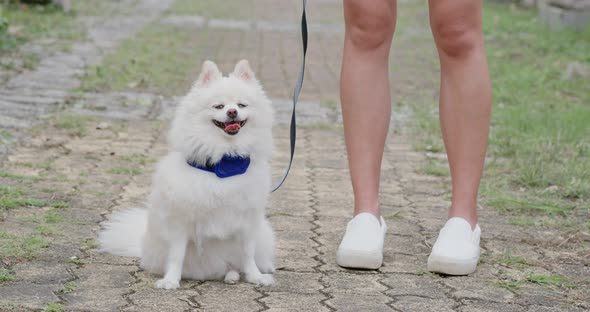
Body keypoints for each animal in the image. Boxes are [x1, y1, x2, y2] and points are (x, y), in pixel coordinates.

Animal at [99, 59, 278, 288]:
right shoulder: (180, 222)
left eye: (241, 105)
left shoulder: (248, 220)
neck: (223, 162)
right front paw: (171, 280)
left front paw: (255, 276)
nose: (232, 112)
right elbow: (177, 255)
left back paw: (233, 274)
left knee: (235, 262)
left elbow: (248, 253)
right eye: (219, 106)